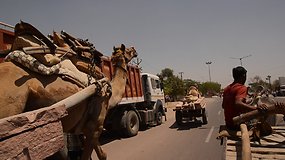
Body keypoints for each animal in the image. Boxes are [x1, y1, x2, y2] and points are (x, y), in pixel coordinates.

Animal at [0, 43, 138, 160]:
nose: (135, 50)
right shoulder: (95, 125)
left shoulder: (84, 129)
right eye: (128, 50)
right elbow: (92, 156)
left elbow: (100, 154)